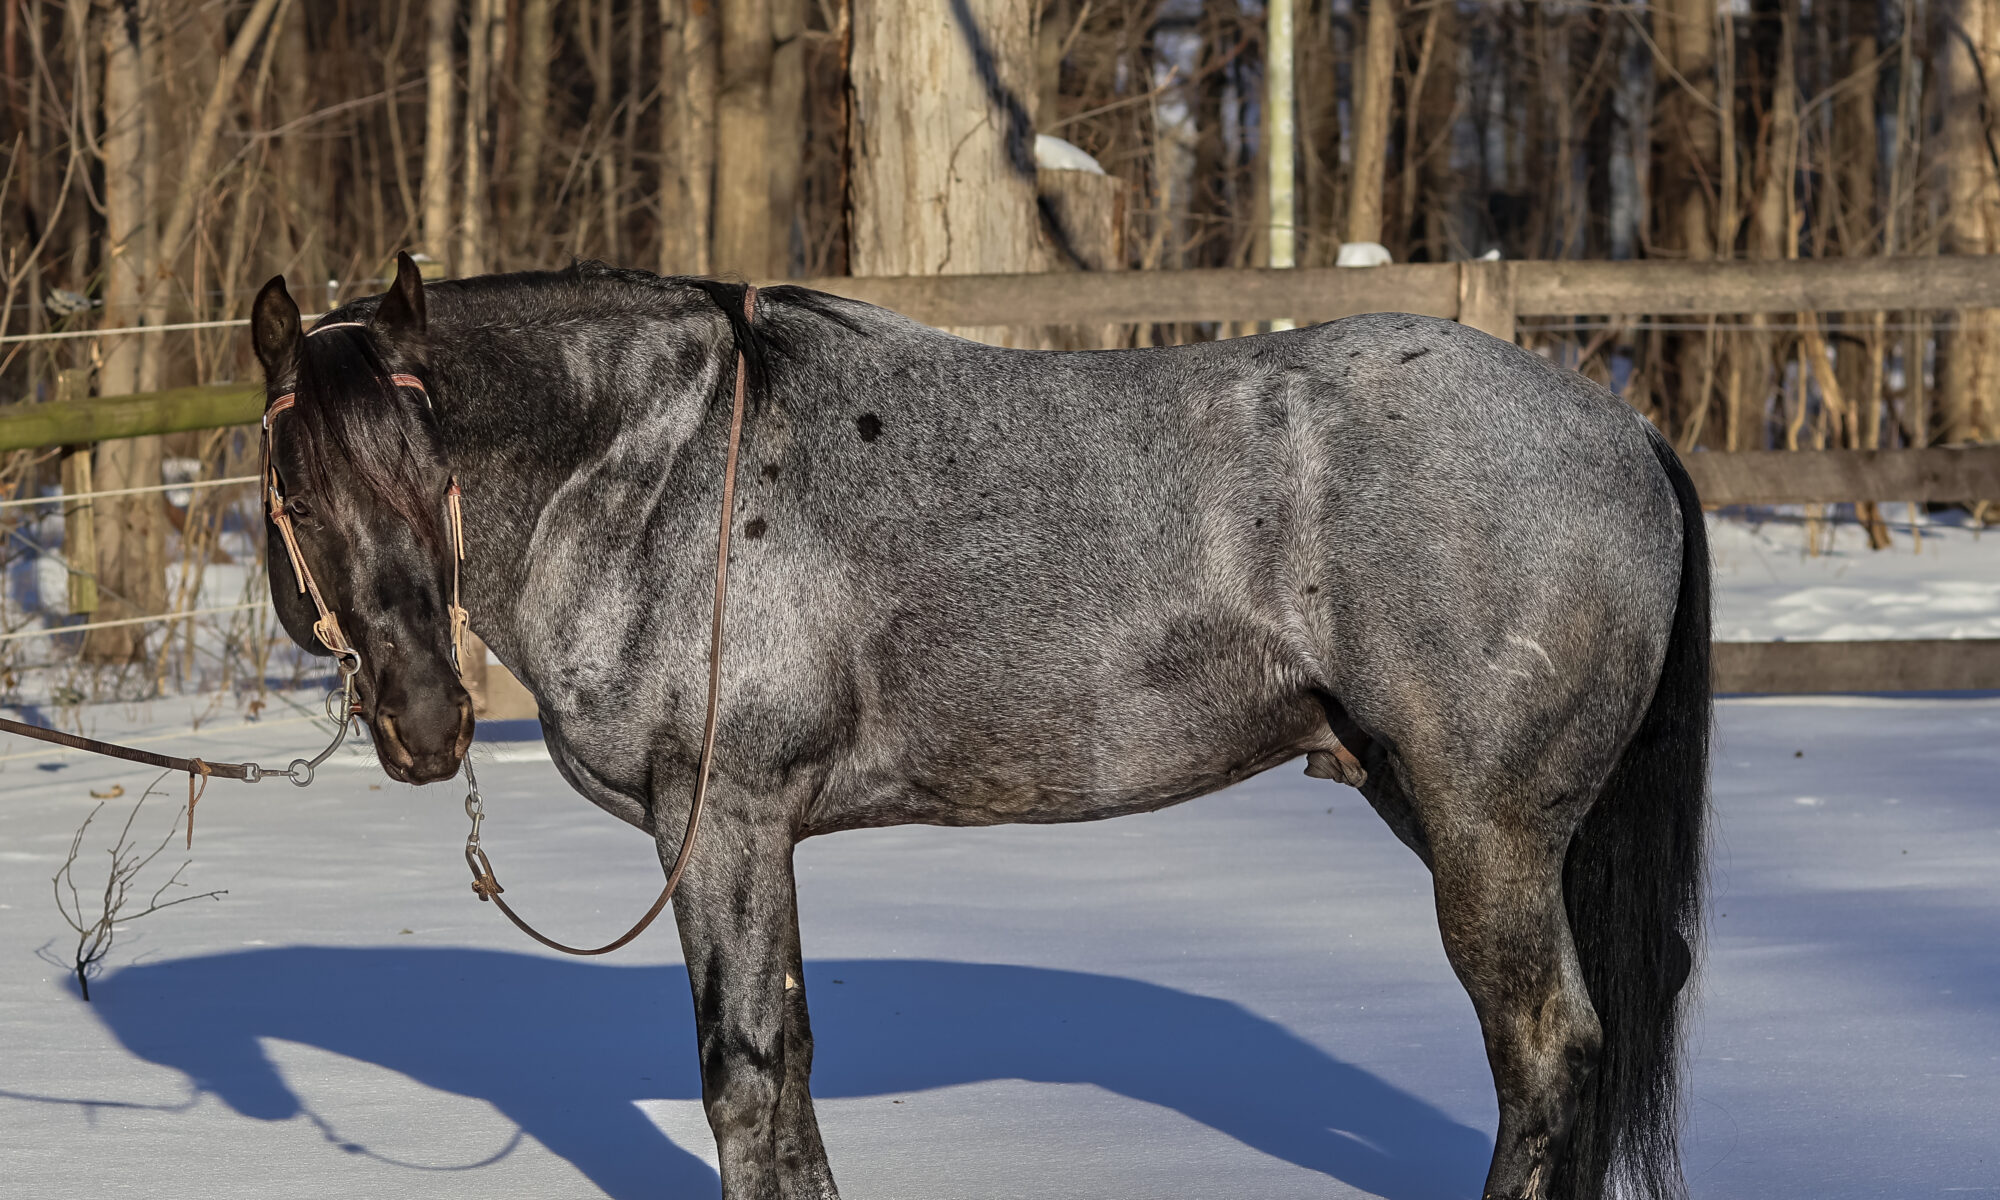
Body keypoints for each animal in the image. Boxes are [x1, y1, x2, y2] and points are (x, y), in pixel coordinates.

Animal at [249, 251, 1708, 1200]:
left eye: (428, 474)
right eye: (298, 494)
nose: (426, 723)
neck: (656, 473)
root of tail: (1620, 427)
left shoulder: (721, 828)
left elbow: (746, 1080)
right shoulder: (750, 841)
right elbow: (784, 1077)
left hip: (1485, 832)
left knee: (1545, 1054)